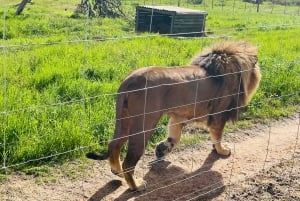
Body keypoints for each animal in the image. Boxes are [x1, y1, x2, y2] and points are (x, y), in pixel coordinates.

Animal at [86, 40, 260, 191]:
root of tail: (130, 81)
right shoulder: (219, 115)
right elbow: (217, 136)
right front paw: (222, 150)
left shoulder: (178, 117)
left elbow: (174, 138)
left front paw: (162, 150)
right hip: (144, 123)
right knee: (129, 161)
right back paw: (136, 186)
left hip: (124, 119)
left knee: (114, 145)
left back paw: (118, 172)